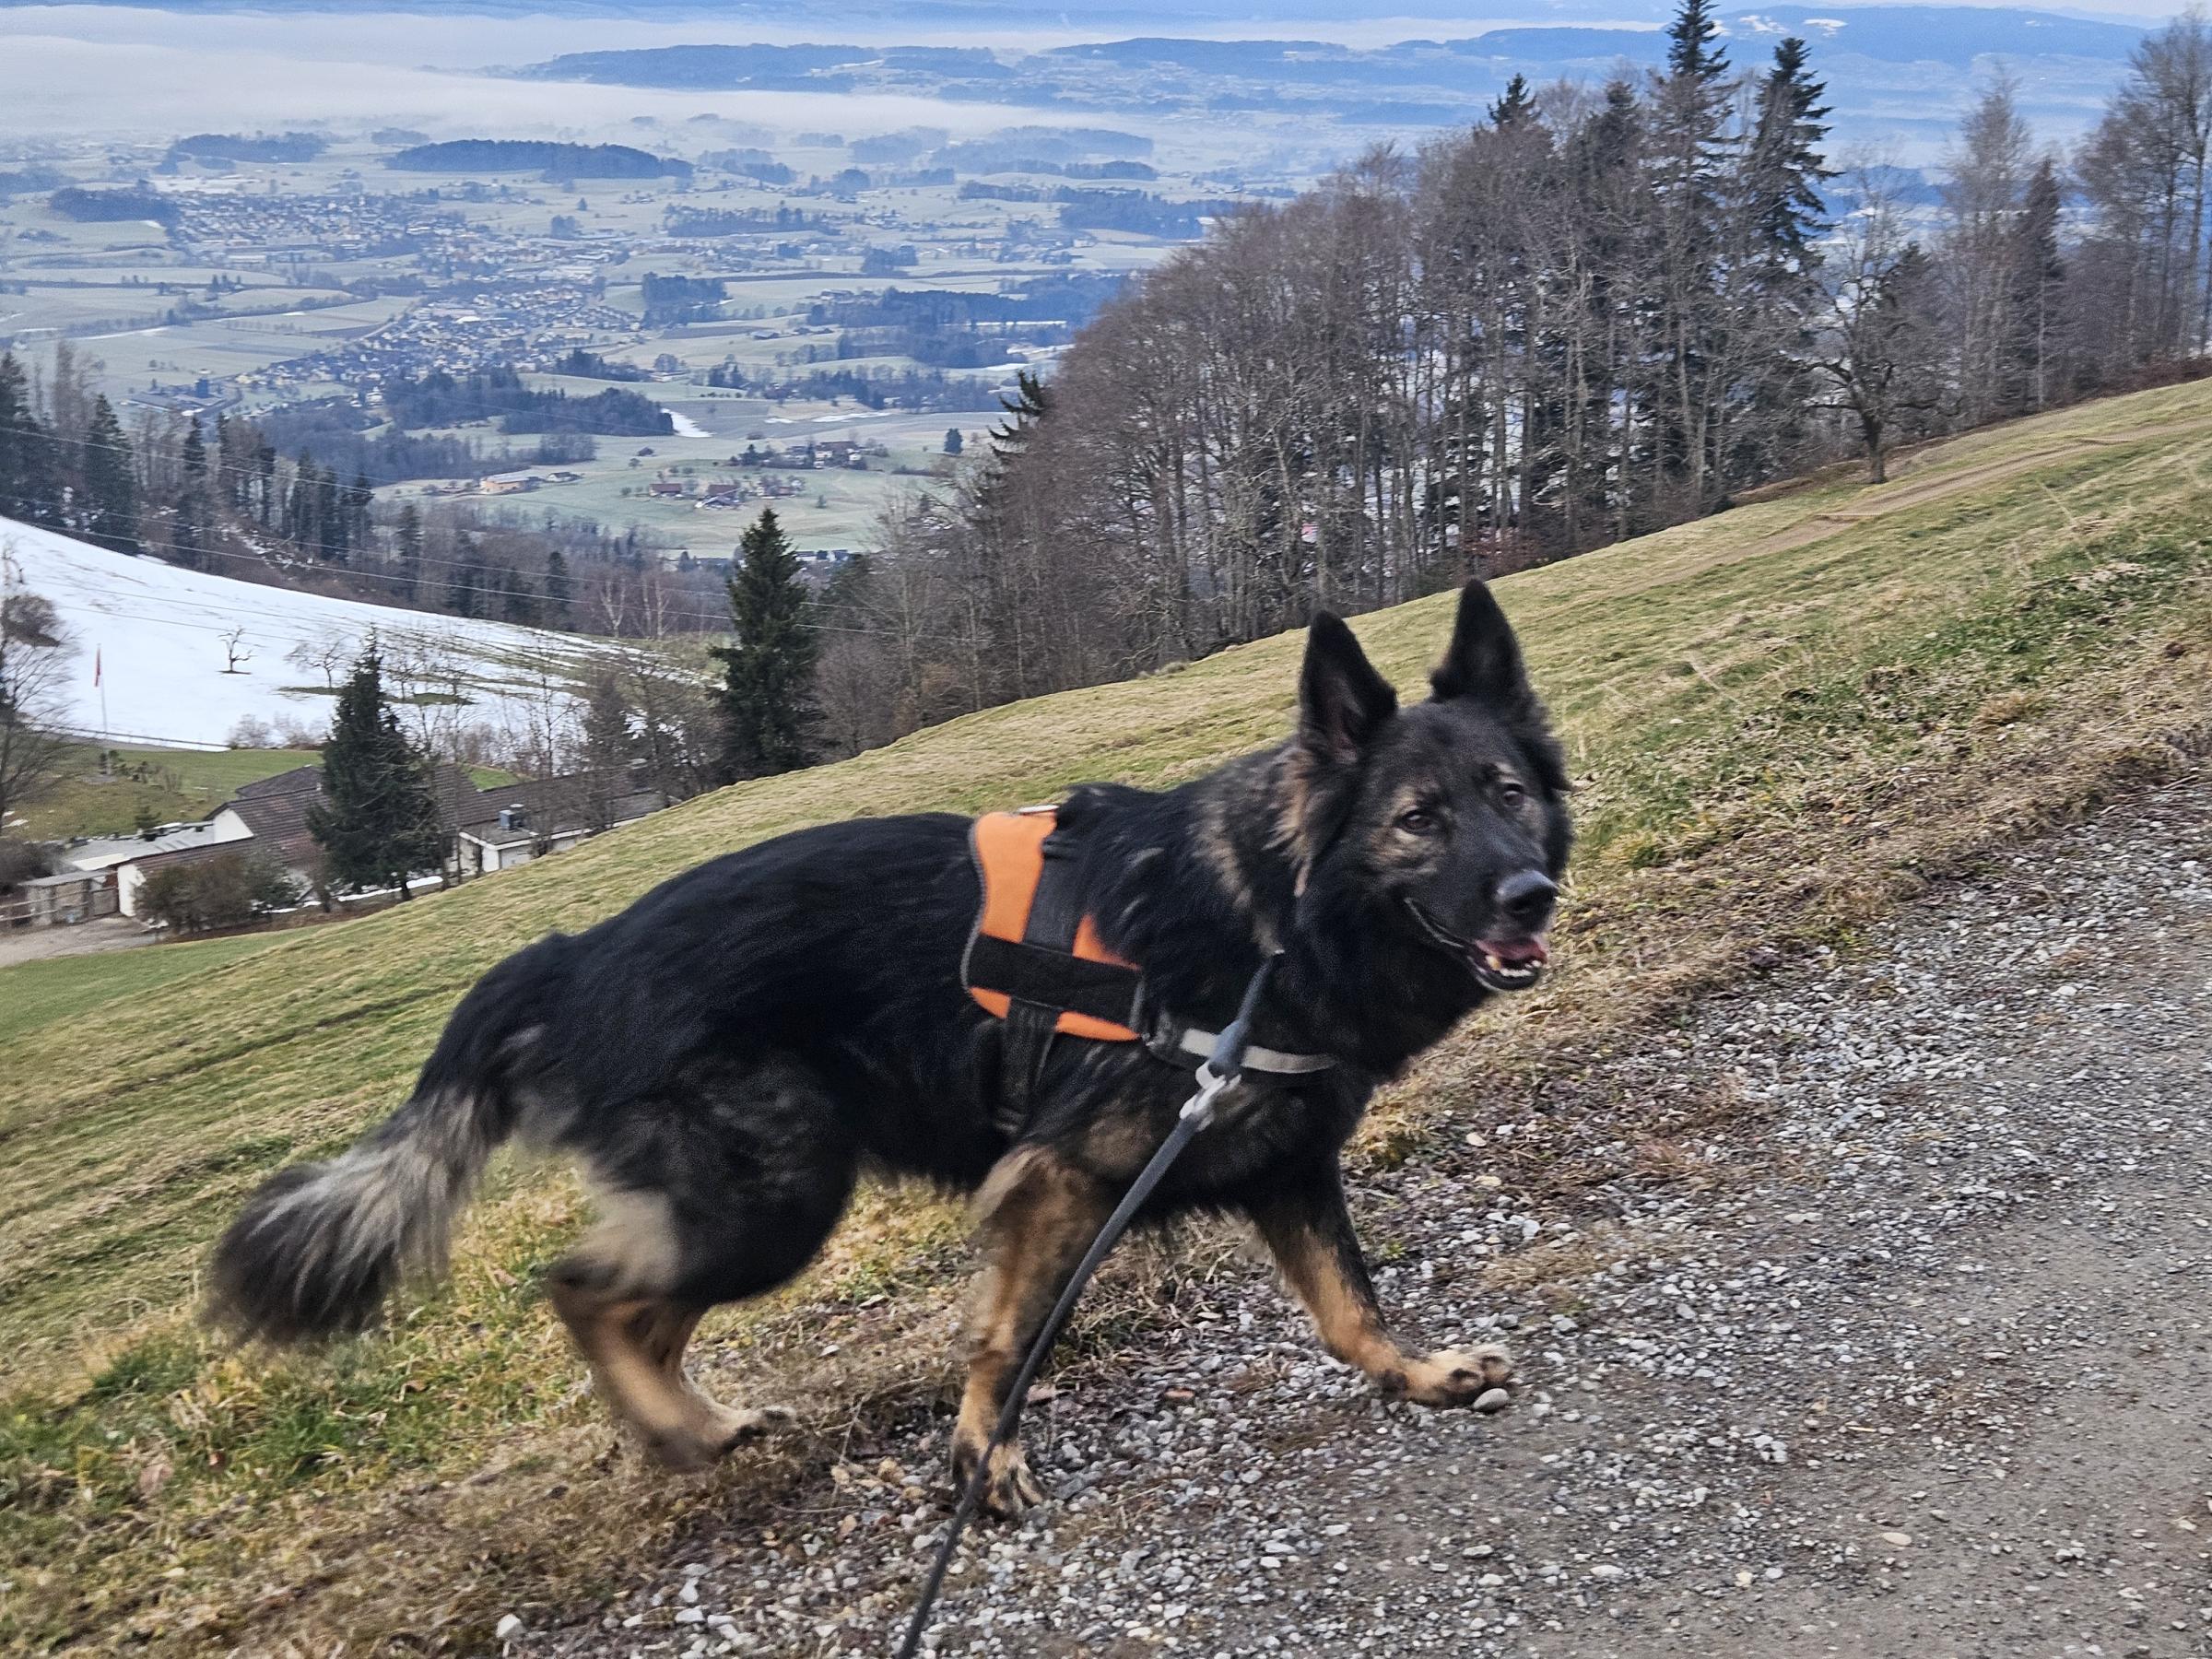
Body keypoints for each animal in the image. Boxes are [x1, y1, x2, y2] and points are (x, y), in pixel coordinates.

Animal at [208, 580, 1571, 1518]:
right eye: (1419, 819)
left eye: (1507, 793)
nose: (1531, 894)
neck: (1276, 918)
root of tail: (572, 950)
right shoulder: (1060, 1179)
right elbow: (1010, 1336)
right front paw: (985, 1457)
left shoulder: (1285, 1169)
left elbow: (1349, 1305)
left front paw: (1422, 1375)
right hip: (773, 1198)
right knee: (586, 1289)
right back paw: (683, 1432)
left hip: (762, 1200)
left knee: (638, 1312)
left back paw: (694, 1429)